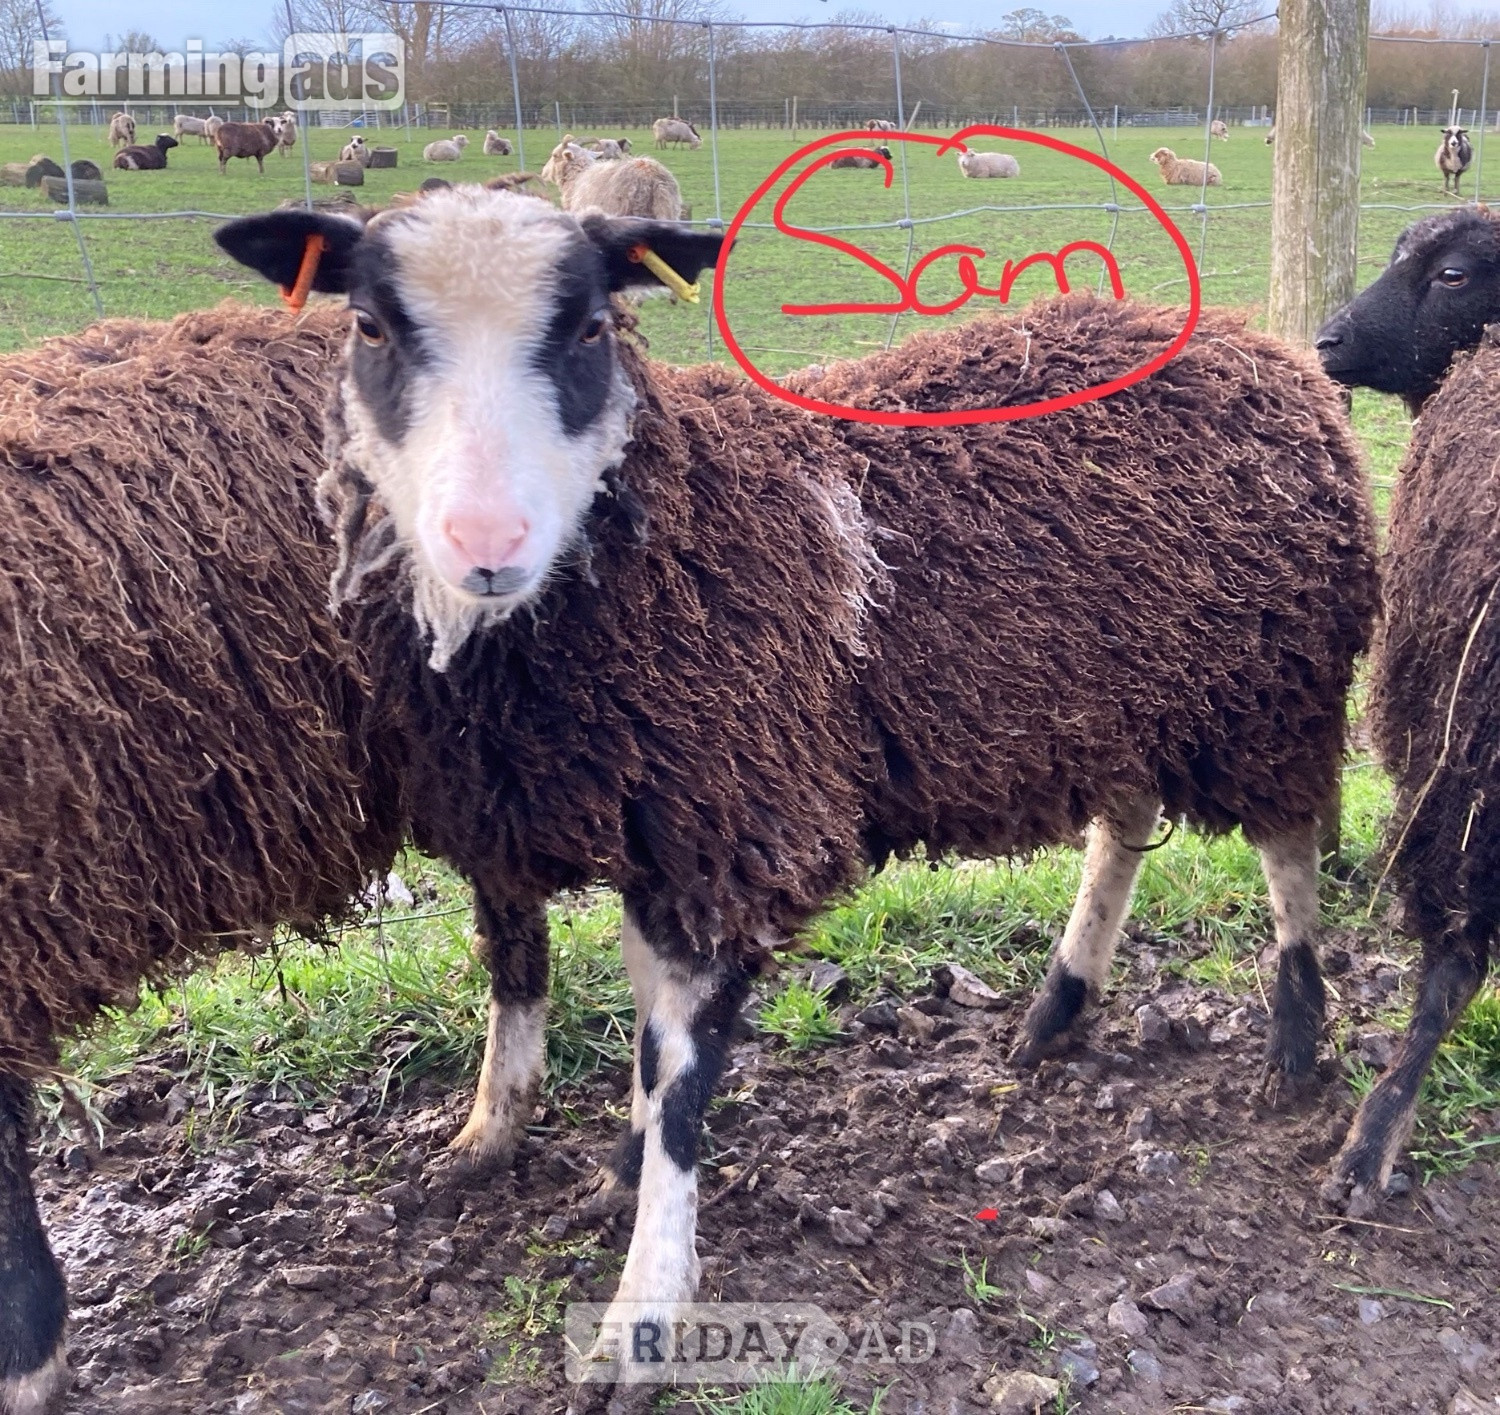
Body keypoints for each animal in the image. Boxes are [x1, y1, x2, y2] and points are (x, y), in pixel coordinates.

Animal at [218, 190, 1378, 1384]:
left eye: (591, 327)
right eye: (368, 325)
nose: (486, 541)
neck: (673, 543)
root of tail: (1263, 347)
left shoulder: (736, 823)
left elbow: (679, 1072)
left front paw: (641, 1311)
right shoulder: (638, 821)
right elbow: (606, 1009)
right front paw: (581, 1155)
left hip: (1264, 683)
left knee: (1288, 842)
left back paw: (1294, 1039)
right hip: (1116, 695)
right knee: (1128, 820)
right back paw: (1058, 1007)